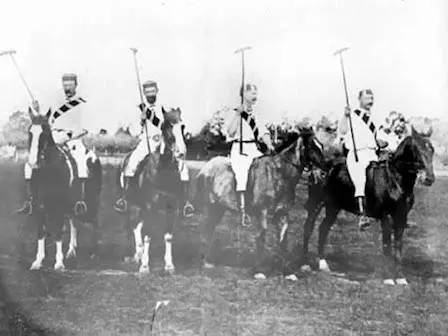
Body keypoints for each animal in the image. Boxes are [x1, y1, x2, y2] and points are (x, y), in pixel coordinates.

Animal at [26, 110, 102, 270]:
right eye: (30, 132)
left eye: (45, 132)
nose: (33, 161)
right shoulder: (39, 206)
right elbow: (41, 232)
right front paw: (38, 261)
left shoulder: (59, 207)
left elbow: (58, 232)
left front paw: (59, 263)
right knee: (74, 222)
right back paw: (71, 251)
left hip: (93, 200)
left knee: (94, 222)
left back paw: (94, 253)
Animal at [116, 107, 186, 272]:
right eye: (167, 127)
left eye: (182, 126)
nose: (181, 152)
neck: (163, 174)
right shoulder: (150, 207)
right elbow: (148, 235)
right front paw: (145, 265)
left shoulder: (171, 208)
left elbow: (168, 236)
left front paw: (169, 264)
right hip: (133, 205)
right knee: (135, 226)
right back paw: (138, 255)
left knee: (138, 226)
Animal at [194, 127, 324, 280]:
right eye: (311, 147)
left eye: (321, 146)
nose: (323, 174)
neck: (279, 175)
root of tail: (206, 167)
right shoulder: (262, 212)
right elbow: (261, 237)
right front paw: (259, 271)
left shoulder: (283, 213)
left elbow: (283, 240)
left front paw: (288, 272)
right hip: (210, 207)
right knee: (207, 230)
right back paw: (204, 263)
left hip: (219, 209)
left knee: (210, 229)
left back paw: (207, 261)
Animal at [296, 126, 436, 286]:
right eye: (417, 149)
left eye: (432, 150)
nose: (429, 178)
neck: (395, 180)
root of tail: (321, 168)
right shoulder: (386, 217)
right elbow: (387, 246)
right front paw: (389, 278)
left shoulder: (401, 218)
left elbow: (398, 247)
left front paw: (400, 277)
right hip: (317, 203)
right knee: (308, 227)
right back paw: (305, 264)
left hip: (333, 207)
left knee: (323, 229)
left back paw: (323, 265)